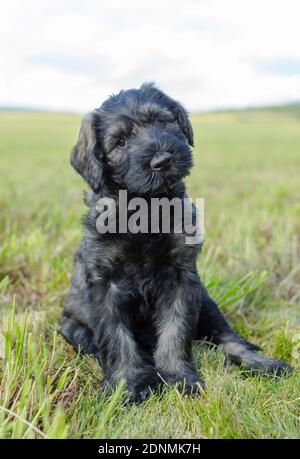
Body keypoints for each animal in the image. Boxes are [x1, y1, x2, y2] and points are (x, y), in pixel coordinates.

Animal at [61, 82, 290, 402]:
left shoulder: (181, 278)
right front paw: (126, 384)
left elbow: (175, 331)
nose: (162, 161)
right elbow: (116, 337)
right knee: (91, 341)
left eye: (162, 121)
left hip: (207, 303)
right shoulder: (105, 284)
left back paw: (262, 363)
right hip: (71, 325)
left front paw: (178, 378)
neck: (145, 210)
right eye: (120, 141)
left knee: (228, 337)